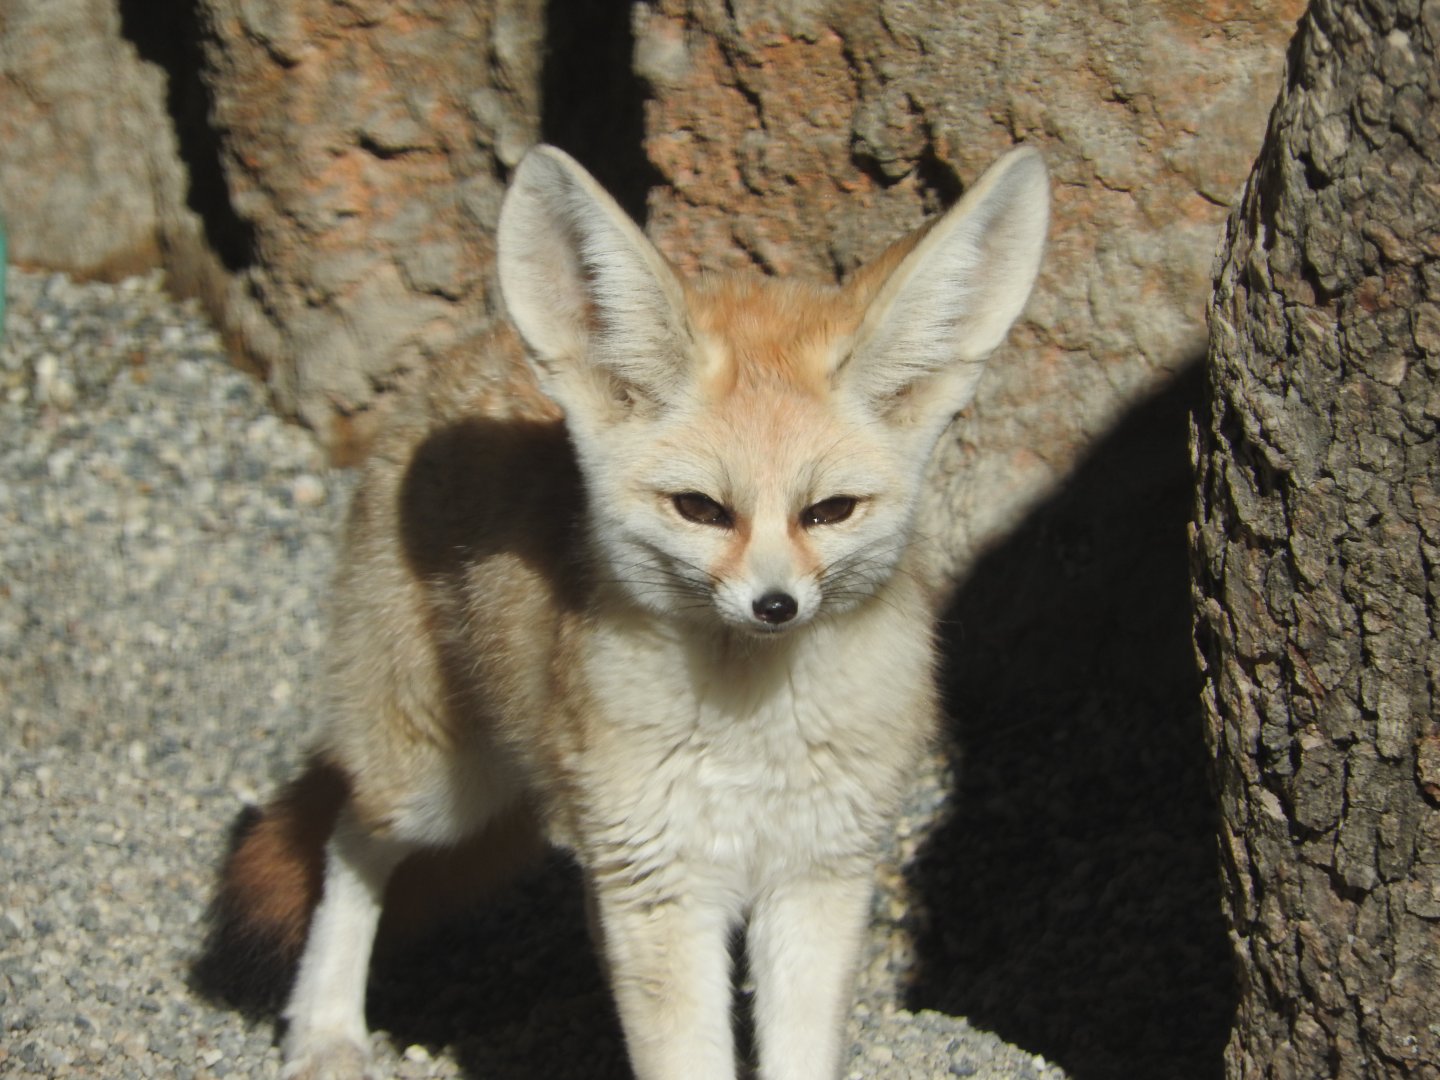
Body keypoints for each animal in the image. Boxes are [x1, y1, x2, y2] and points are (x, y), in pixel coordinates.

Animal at [224, 143, 1048, 1080]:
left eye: (829, 511)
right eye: (702, 509)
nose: (775, 605)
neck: (750, 739)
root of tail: (467, 352)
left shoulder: (817, 877)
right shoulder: (657, 888)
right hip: (437, 786)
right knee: (347, 843)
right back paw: (324, 1026)